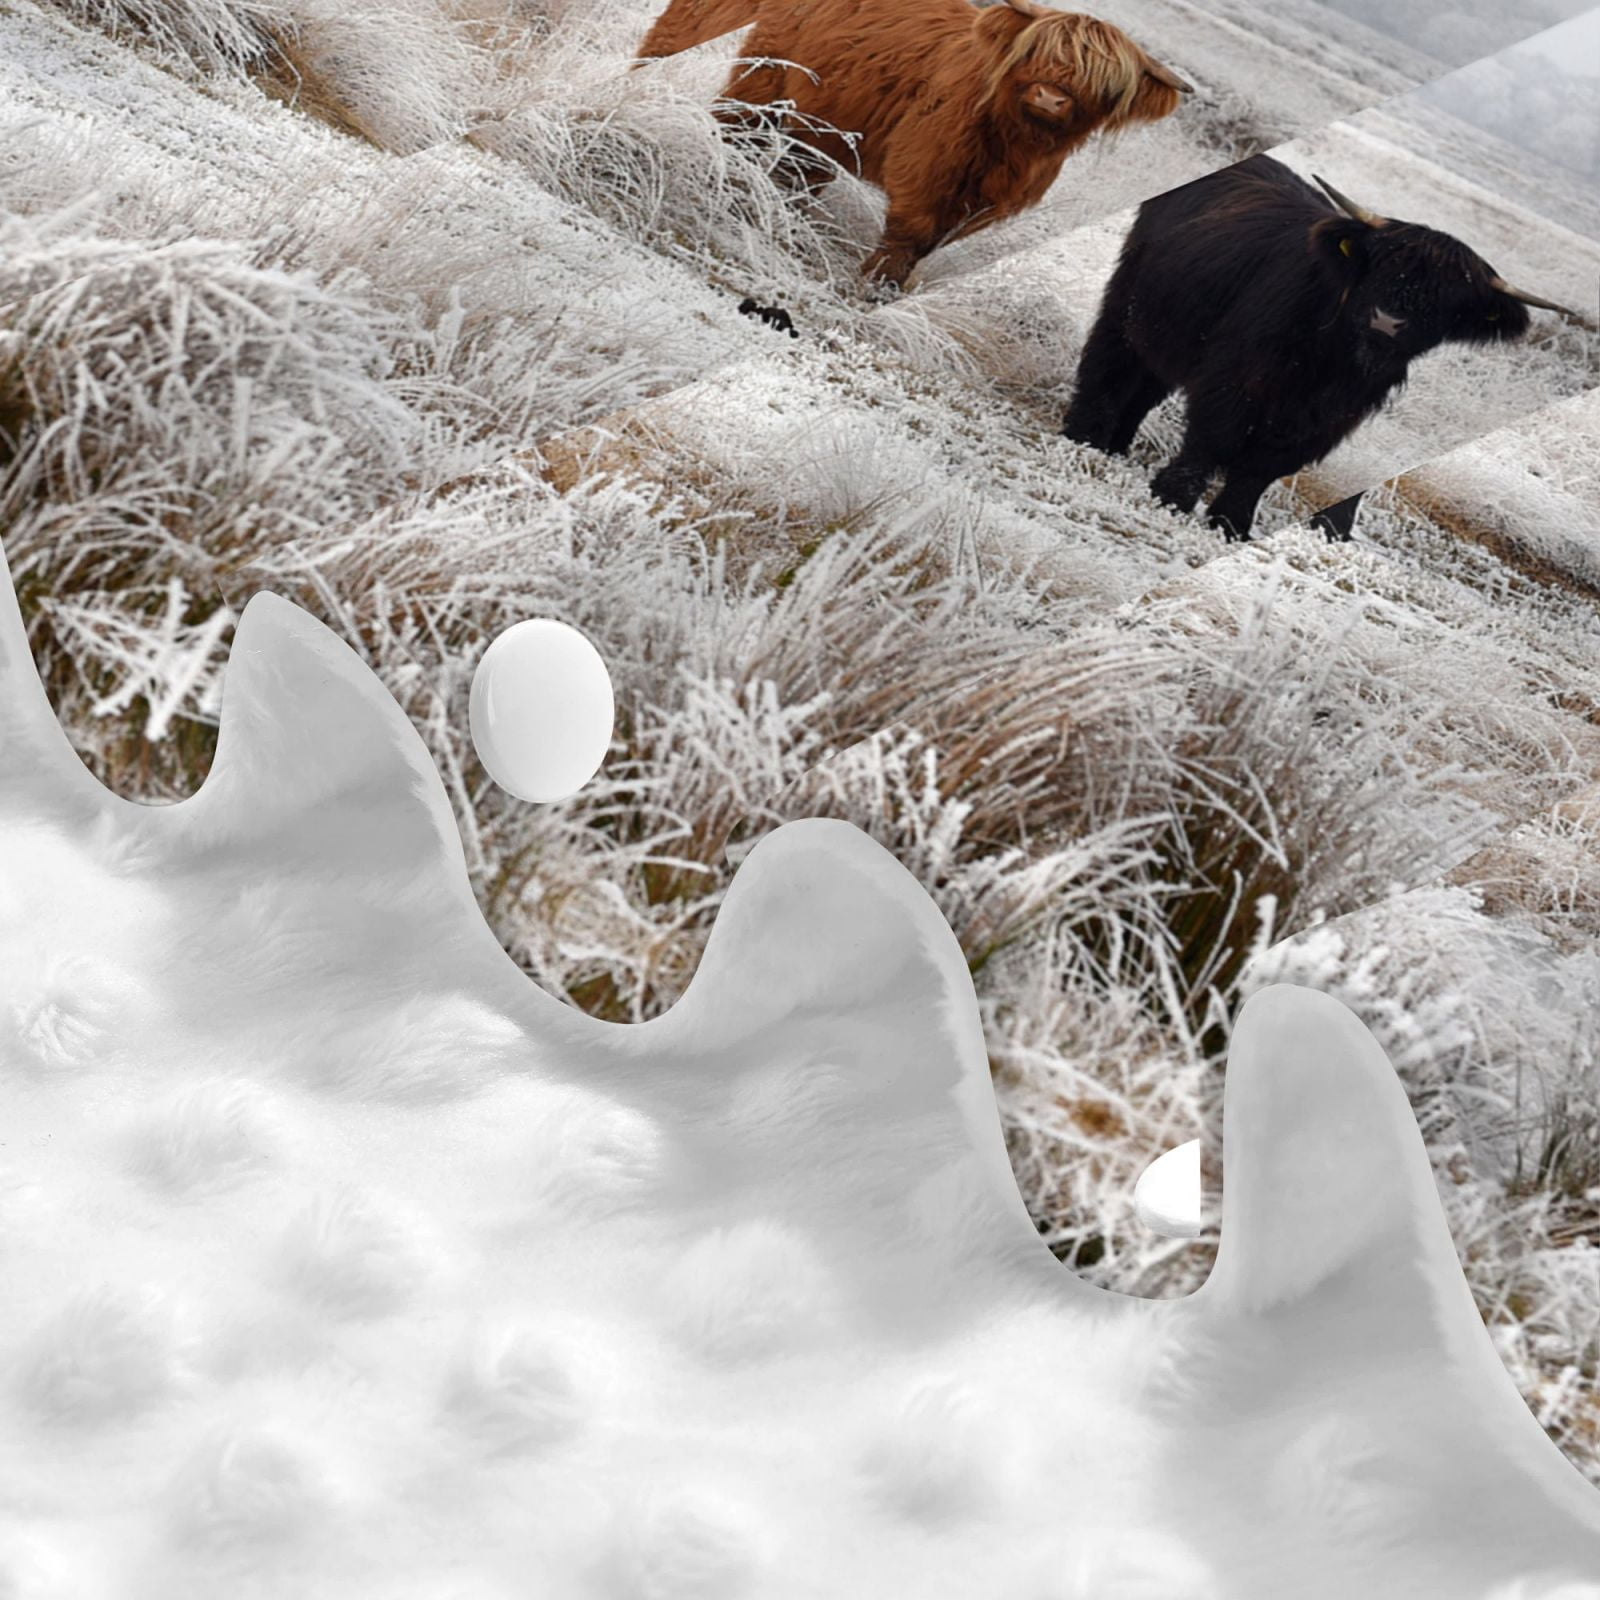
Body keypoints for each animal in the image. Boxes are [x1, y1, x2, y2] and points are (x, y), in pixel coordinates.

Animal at [634, 0, 1192, 289]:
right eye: (1038, 50)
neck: (1014, 144)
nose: (1051, 97)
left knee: (799, 167)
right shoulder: (926, 162)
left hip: (821, 119)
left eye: (1106, 84)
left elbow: (934, 243)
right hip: (755, 75)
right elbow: (914, 230)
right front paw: (877, 284)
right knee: (725, 117)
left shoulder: (985, 203)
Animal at [1062, 153, 1584, 539]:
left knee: (1146, 386)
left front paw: (1232, 525)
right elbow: (1214, 439)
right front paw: (1173, 497)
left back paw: (1116, 447)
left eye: (1448, 302)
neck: (1329, 360)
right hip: (1129, 301)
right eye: (1382, 265)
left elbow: (1263, 468)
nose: (1387, 321)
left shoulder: (1328, 419)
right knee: (1108, 365)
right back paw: (1084, 437)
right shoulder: (1236, 380)